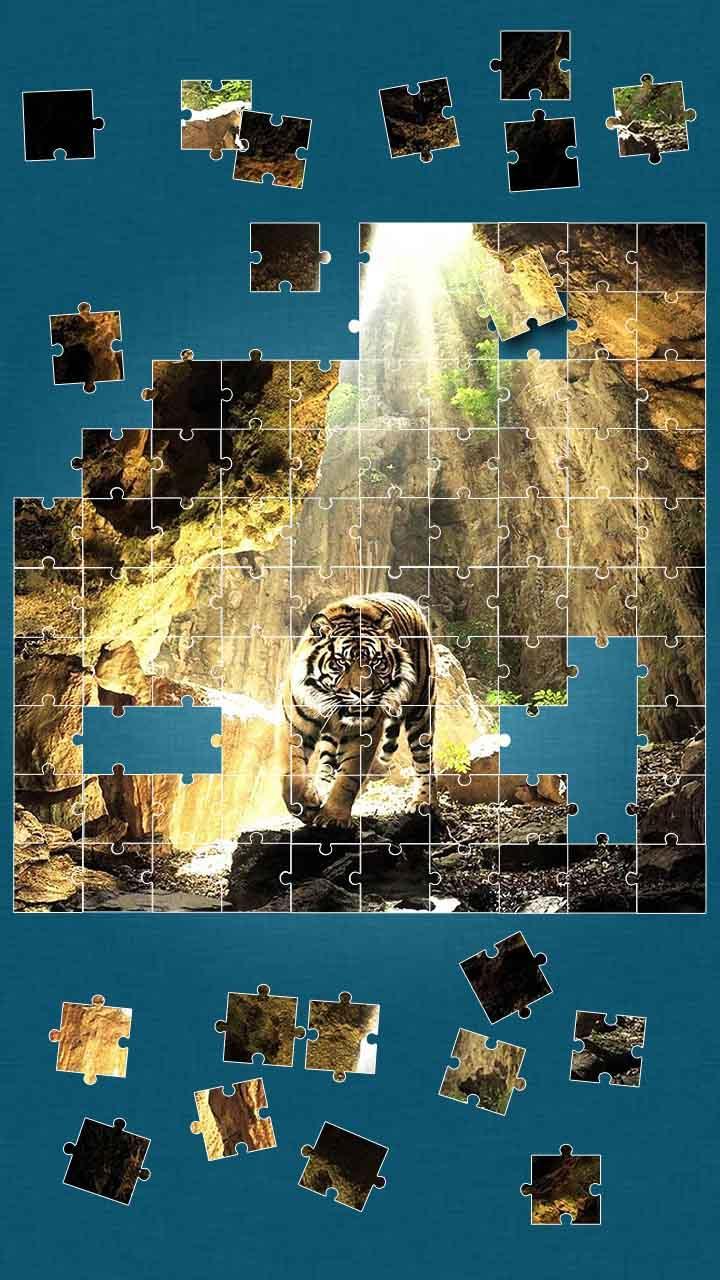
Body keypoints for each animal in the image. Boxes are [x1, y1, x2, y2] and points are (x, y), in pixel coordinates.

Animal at [281, 592, 436, 828]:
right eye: (341, 663)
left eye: (376, 663)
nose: (362, 693)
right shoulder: (294, 724)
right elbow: (291, 771)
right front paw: (306, 804)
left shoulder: (364, 732)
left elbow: (349, 776)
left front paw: (333, 817)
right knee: (327, 760)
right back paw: (322, 788)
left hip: (421, 711)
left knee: (424, 760)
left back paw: (424, 802)